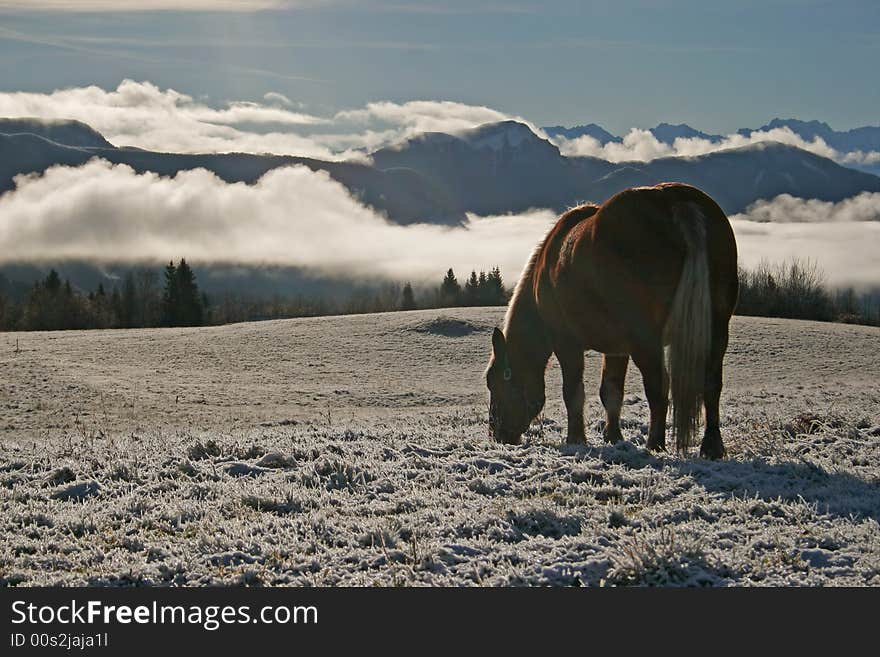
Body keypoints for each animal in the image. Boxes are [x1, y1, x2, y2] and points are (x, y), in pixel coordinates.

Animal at [484, 179, 740, 456]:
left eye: (495, 382)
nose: (498, 434)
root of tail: (674, 202)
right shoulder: (618, 348)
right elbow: (611, 390)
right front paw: (613, 437)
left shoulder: (567, 343)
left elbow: (573, 392)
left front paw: (576, 439)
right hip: (716, 332)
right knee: (711, 385)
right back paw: (711, 447)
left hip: (646, 342)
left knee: (659, 389)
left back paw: (655, 443)